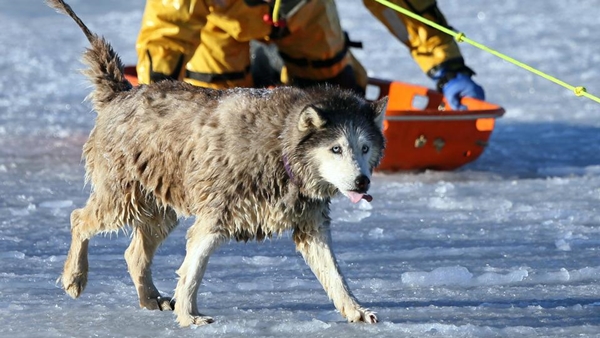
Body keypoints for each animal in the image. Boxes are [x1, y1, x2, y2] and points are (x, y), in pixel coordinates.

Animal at [45, 0, 384, 328]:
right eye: (336, 148)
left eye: (364, 148)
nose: (362, 181)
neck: (280, 147)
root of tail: (122, 93)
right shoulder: (214, 216)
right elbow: (193, 271)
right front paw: (189, 316)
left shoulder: (310, 223)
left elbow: (335, 275)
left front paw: (355, 310)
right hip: (123, 198)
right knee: (79, 220)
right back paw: (75, 276)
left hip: (158, 209)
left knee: (134, 254)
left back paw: (150, 298)